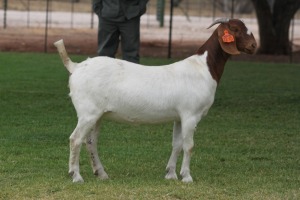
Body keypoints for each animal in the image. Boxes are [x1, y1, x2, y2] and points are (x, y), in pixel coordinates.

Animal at [53, 18, 255, 183]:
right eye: (236, 29)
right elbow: (189, 146)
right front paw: (187, 177)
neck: (203, 68)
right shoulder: (190, 115)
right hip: (87, 113)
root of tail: (76, 66)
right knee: (75, 139)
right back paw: (76, 176)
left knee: (90, 142)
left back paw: (101, 174)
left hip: (97, 115)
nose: (253, 45)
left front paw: (171, 174)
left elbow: (177, 144)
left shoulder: (179, 117)